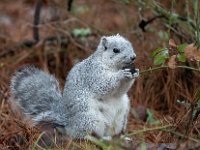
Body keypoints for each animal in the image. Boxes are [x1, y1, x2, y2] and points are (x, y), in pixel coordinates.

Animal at [9, 34, 139, 140]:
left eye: (130, 44)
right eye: (115, 50)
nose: (133, 57)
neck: (113, 67)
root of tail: (68, 121)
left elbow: (120, 91)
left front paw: (135, 73)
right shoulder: (93, 74)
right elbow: (103, 85)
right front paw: (121, 75)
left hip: (122, 116)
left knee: (111, 132)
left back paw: (121, 137)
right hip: (89, 118)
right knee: (80, 135)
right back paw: (97, 138)